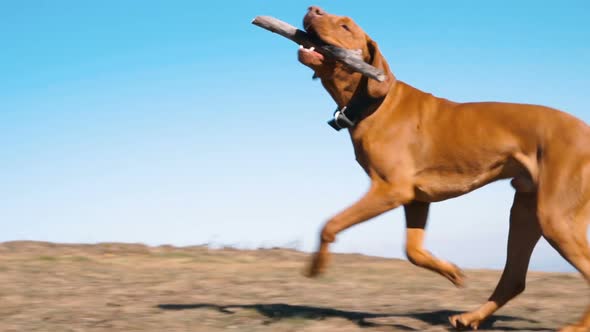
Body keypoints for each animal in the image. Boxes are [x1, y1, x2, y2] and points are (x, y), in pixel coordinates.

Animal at [298, 5, 590, 332]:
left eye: (346, 26)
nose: (312, 8)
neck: (376, 102)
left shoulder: (391, 189)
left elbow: (330, 224)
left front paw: (317, 266)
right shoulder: (415, 199)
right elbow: (412, 252)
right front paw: (452, 271)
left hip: (555, 218)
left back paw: (577, 327)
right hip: (525, 212)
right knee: (514, 278)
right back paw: (470, 317)